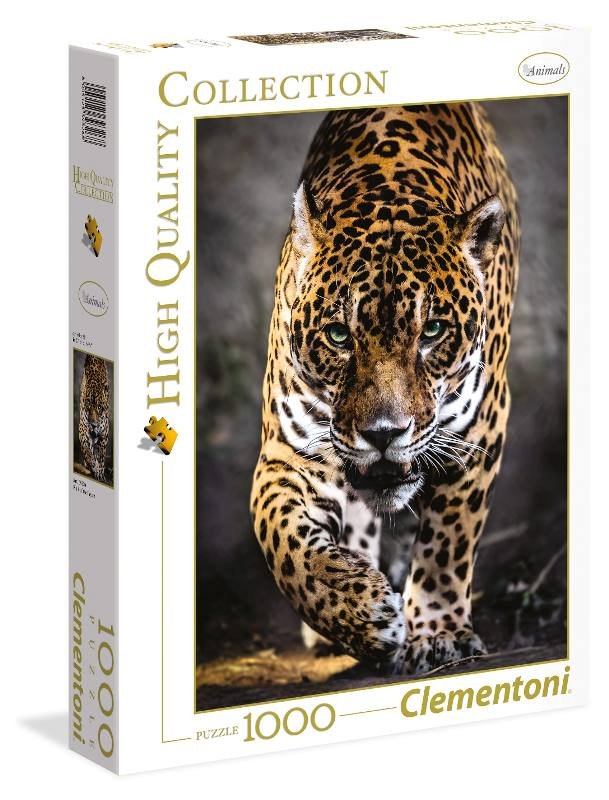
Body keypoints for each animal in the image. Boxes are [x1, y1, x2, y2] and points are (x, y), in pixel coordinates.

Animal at [250, 102, 519, 675]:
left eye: (433, 331)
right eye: (338, 335)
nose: (382, 434)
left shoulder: (478, 431)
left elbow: (448, 541)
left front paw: (437, 633)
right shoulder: (290, 450)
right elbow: (281, 539)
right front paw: (359, 612)